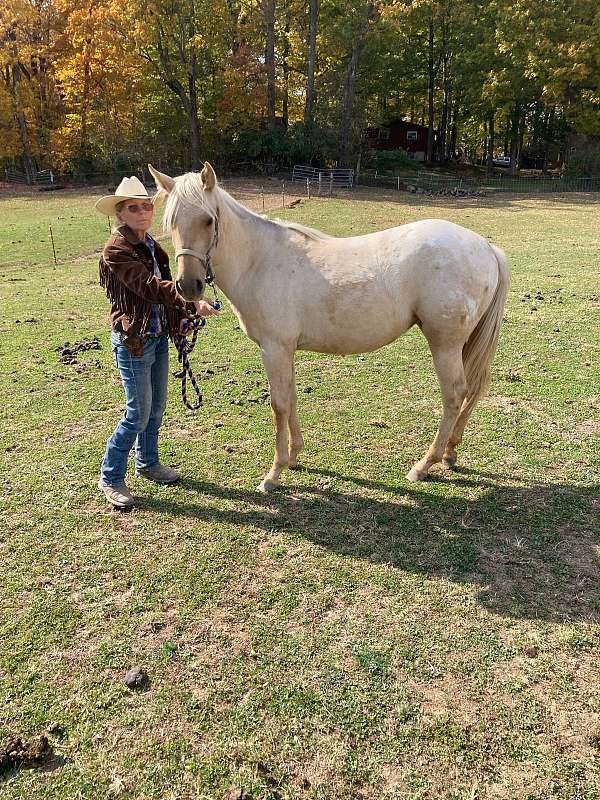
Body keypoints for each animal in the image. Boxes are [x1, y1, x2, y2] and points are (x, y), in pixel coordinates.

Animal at [149, 162, 506, 490]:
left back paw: (424, 464)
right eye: (171, 223)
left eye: (209, 220)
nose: (188, 286)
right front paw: (294, 457)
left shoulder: (274, 349)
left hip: (445, 344)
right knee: (472, 391)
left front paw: (274, 473)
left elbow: (279, 404)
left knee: (454, 395)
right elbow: (291, 398)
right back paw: (449, 454)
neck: (260, 260)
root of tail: (486, 247)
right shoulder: (285, 351)